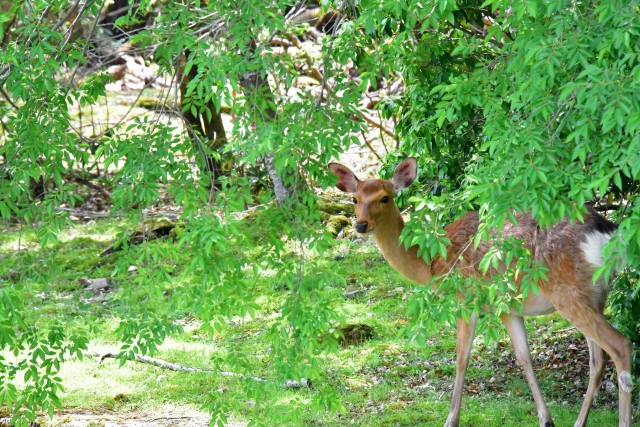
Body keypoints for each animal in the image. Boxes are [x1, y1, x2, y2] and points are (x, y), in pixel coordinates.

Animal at [328, 157, 633, 427]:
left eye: (384, 198)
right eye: (354, 199)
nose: (360, 225)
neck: (431, 262)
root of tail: (609, 234)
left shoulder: (466, 298)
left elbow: (462, 359)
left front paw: (451, 420)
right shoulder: (507, 307)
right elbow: (524, 357)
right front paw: (547, 420)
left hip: (567, 292)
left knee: (620, 345)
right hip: (594, 295)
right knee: (597, 359)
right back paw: (579, 422)